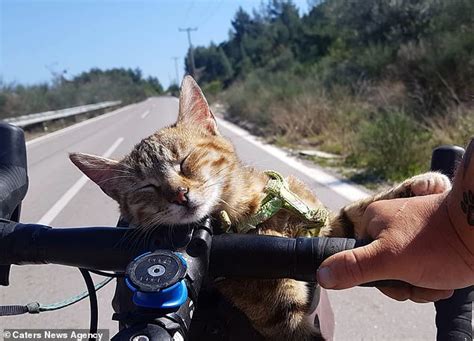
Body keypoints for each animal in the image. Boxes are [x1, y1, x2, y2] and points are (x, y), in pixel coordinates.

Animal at [68, 75, 450, 340]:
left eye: (185, 162)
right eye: (148, 187)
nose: (178, 195)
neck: (254, 210)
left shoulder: (322, 224)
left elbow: (357, 212)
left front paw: (420, 186)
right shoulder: (282, 319)